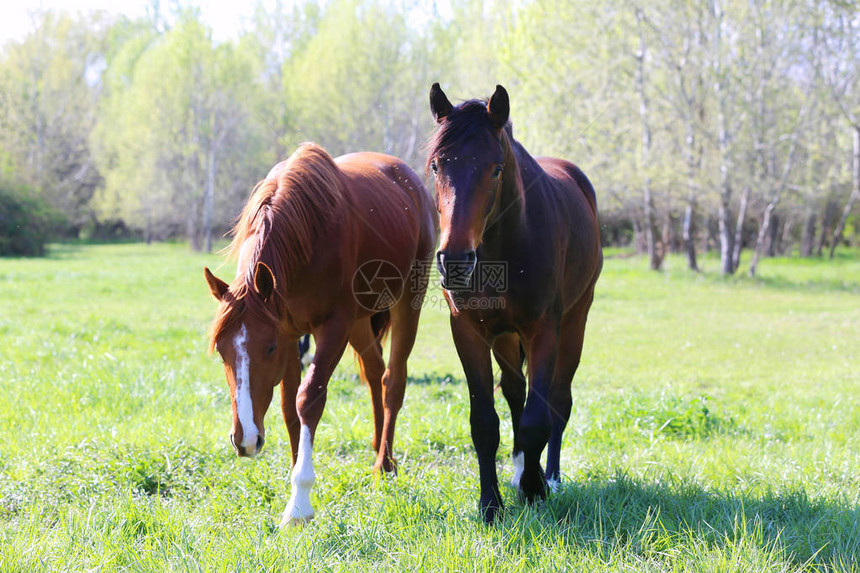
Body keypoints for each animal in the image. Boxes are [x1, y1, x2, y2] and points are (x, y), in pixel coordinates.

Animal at [205, 142, 436, 524]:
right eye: (222, 351)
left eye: (267, 348)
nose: (245, 439)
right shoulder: (290, 331)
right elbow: (288, 408)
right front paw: (294, 481)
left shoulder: (331, 327)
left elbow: (308, 399)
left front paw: (299, 503)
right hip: (360, 322)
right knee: (374, 373)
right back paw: (377, 447)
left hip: (407, 302)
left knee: (393, 380)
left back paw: (384, 464)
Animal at [426, 84, 600, 524]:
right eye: (436, 166)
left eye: (495, 169)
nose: (455, 261)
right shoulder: (468, 331)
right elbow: (485, 422)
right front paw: (490, 504)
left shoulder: (544, 331)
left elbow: (539, 419)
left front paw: (535, 490)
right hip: (504, 337)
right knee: (514, 391)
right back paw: (522, 467)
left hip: (575, 323)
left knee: (558, 401)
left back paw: (548, 476)